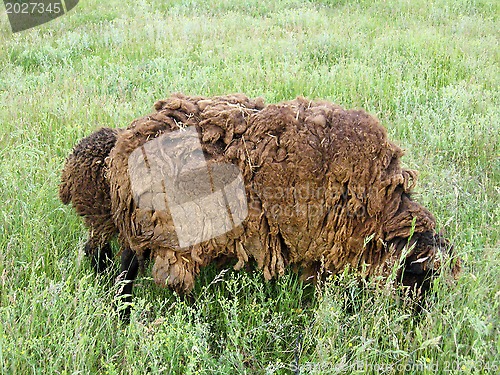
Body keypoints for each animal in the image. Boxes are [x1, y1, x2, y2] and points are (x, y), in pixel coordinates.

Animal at [58, 93, 460, 318]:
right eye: (422, 276)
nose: (419, 320)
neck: (378, 209)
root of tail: (126, 140)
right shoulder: (320, 242)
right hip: (164, 229)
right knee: (142, 272)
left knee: (116, 257)